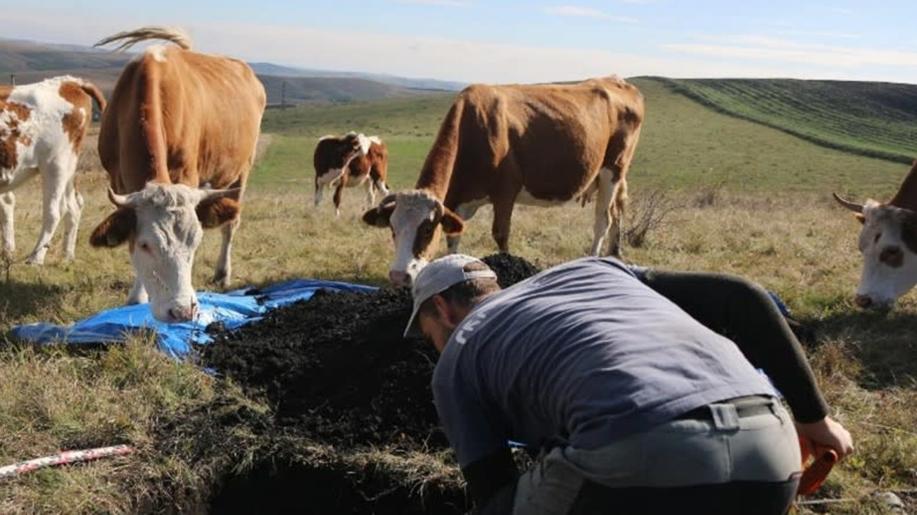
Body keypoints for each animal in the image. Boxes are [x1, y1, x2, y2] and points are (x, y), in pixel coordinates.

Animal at [0, 75, 105, 266]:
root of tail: (69, 82)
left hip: (55, 164)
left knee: (54, 211)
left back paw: (36, 258)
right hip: (69, 167)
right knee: (74, 205)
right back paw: (67, 255)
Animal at [88, 27, 264, 322]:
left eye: (195, 242)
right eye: (146, 245)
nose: (182, 311)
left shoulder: (188, 175)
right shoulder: (118, 180)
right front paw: (136, 297)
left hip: (242, 170)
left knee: (230, 224)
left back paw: (223, 272)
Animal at [360, 77, 644, 286]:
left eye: (427, 229)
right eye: (392, 228)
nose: (399, 276)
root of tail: (617, 80)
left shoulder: (506, 191)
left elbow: (501, 235)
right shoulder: (457, 203)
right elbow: (454, 238)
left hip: (612, 169)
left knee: (603, 219)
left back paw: (594, 259)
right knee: (616, 212)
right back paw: (615, 252)